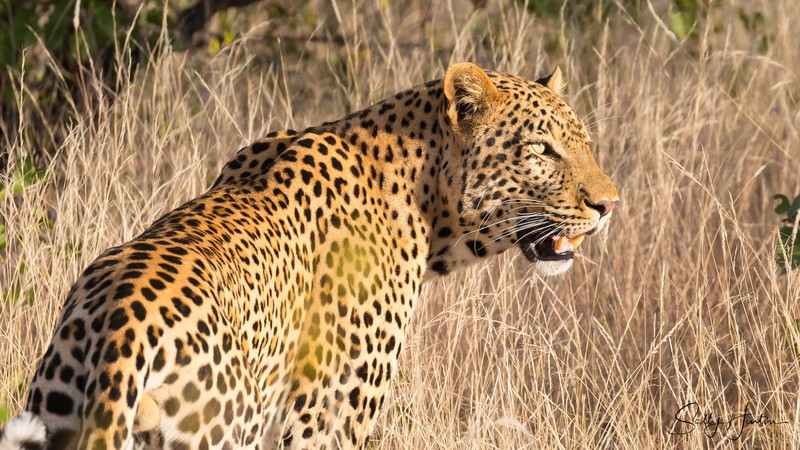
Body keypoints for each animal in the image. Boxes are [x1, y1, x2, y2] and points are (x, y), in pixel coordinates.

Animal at [0, 62, 619, 449]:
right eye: (541, 149)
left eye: (585, 143)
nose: (609, 205)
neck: (425, 199)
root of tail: (124, 329)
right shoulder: (330, 419)